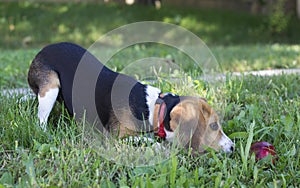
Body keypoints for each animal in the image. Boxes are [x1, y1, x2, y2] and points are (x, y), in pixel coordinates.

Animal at [27, 41, 234, 153]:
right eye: (213, 126)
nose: (233, 147)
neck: (154, 108)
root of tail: (43, 49)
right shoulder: (117, 137)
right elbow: (144, 140)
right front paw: (158, 146)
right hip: (50, 87)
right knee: (40, 120)